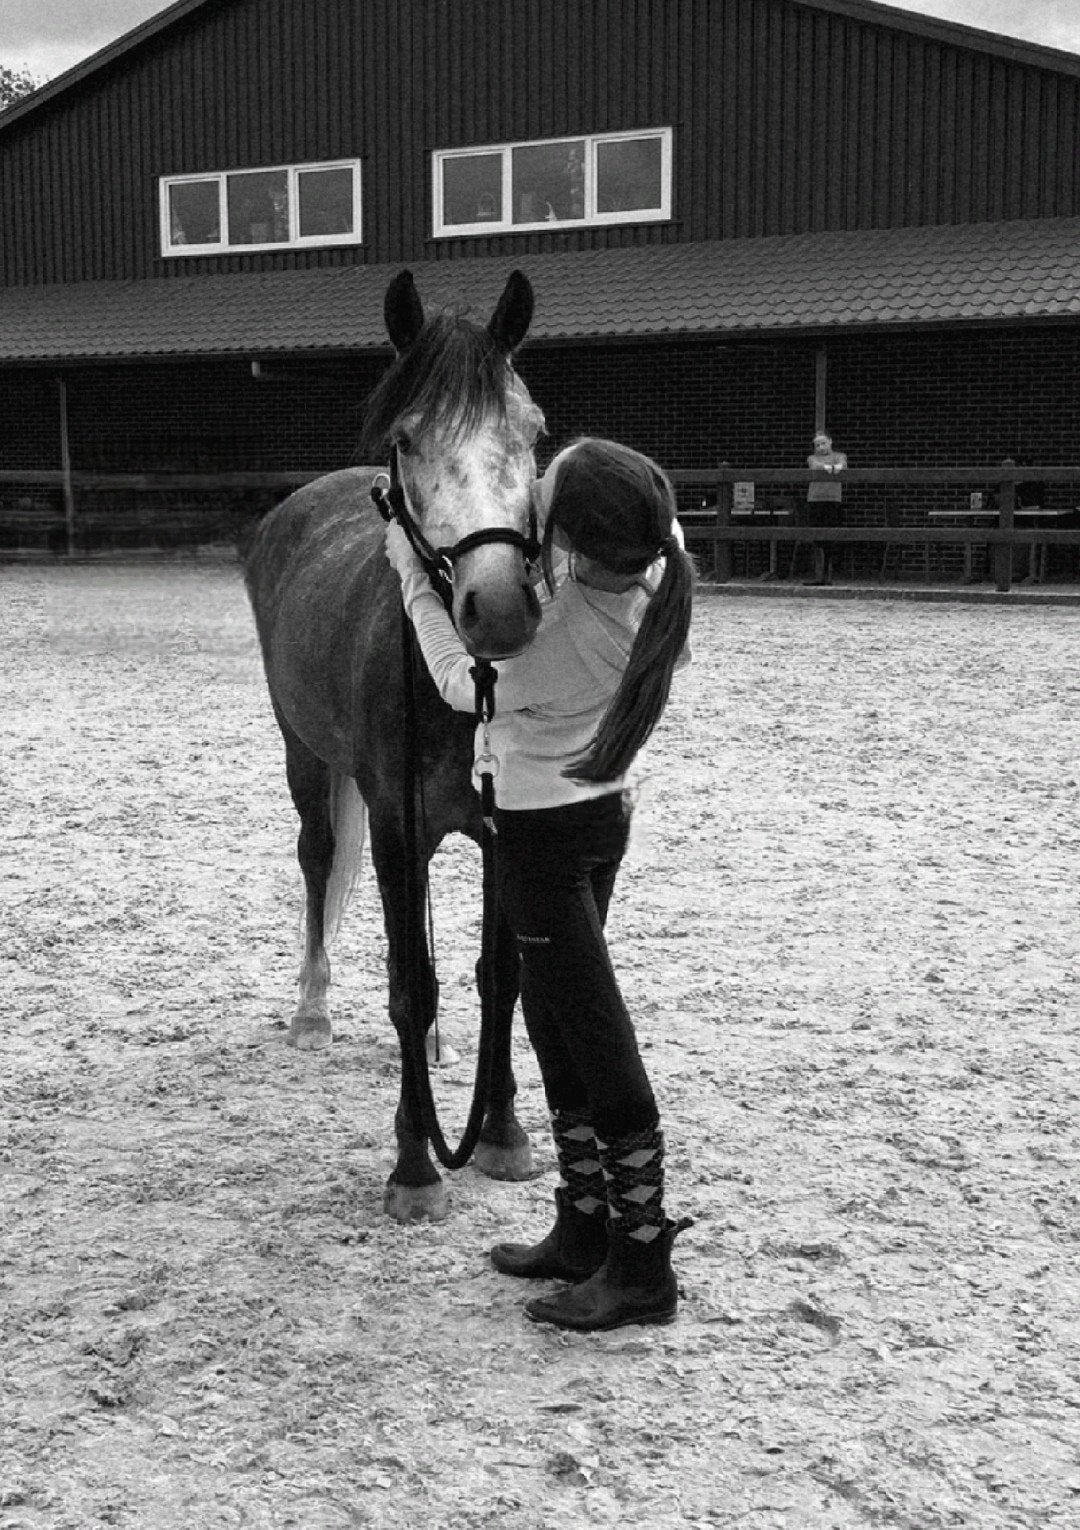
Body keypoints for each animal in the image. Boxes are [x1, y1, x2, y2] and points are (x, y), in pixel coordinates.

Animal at [242, 269, 545, 1222]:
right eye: (407, 440)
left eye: (534, 431)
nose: (500, 607)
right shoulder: (395, 830)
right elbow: (410, 984)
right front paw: (416, 1165)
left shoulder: (502, 834)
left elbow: (499, 978)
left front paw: (501, 1133)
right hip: (307, 759)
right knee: (316, 860)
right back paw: (312, 1011)